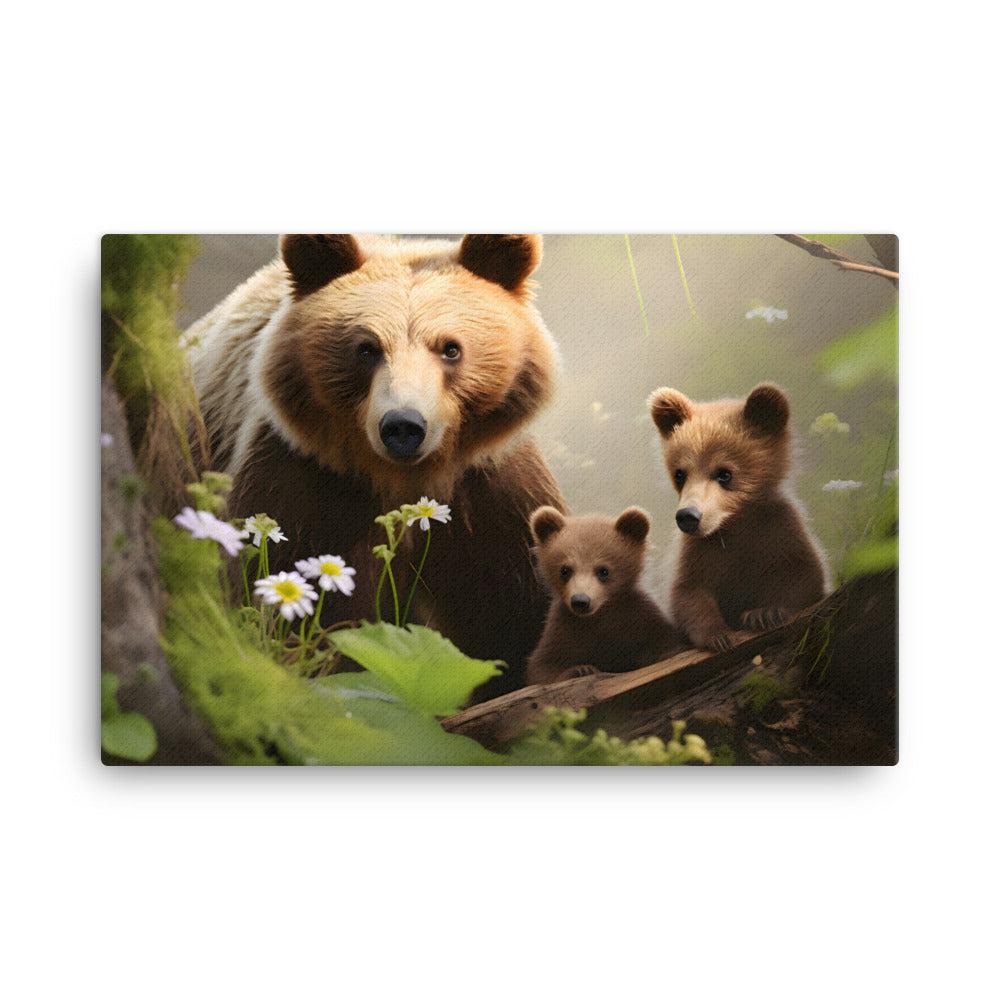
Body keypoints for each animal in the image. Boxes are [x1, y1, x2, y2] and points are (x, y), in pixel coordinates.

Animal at [185, 234, 565, 697]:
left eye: (451, 348)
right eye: (366, 348)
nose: (403, 425)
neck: (403, 481)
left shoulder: (489, 495)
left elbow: (515, 611)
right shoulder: (303, 482)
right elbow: (271, 589)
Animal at [525, 505, 686, 686]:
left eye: (603, 571)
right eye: (565, 570)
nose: (580, 601)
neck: (601, 614)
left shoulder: (640, 617)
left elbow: (666, 645)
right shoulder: (563, 629)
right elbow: (542, 666)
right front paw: (580, 670)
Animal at [647, 382, 829, 652]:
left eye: (724, 473)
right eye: (680, 474)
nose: (688, 516)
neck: (734, 523)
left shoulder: (780, 529)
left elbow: (804, 574)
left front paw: (764, 613)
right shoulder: (699, 552)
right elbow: (688, 592)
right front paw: (718, 635)